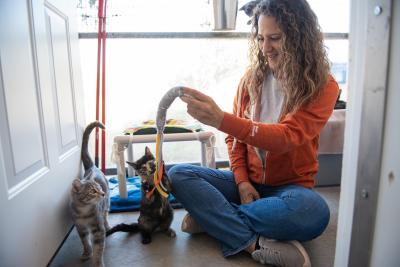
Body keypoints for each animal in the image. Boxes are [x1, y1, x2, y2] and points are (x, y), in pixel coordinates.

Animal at [69, 122, 109, 267]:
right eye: (93, 191)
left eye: (99, 188)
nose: (103, 194)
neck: (84, 211)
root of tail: (92, 166)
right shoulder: (80, 226)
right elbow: (85, 241)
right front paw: (87, 253)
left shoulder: (98, 229)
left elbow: (99, 249)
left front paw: (97, 262)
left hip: (107, 204)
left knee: (105, 214)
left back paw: (108, 225)